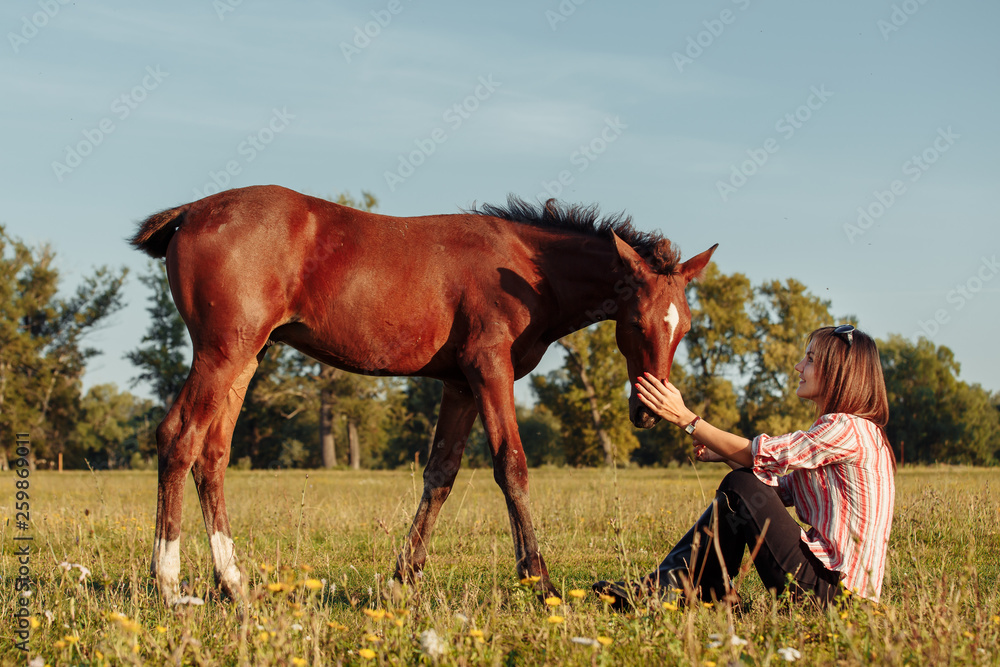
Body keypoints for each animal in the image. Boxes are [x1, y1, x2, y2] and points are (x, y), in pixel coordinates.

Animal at [129, 185, 716, 605]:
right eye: (636, 323)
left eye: (684, 326)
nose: (647, 410)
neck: (526, 269)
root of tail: (193, 211)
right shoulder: (489, 369)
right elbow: (512, 464)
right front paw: (540, 581)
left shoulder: (459, 384)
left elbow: (441, 474)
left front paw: (401, 579)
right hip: (221, 353)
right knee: (178, 438)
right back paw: (168, 583)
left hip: (247, 358)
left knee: (213, 454)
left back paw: (233, 582)